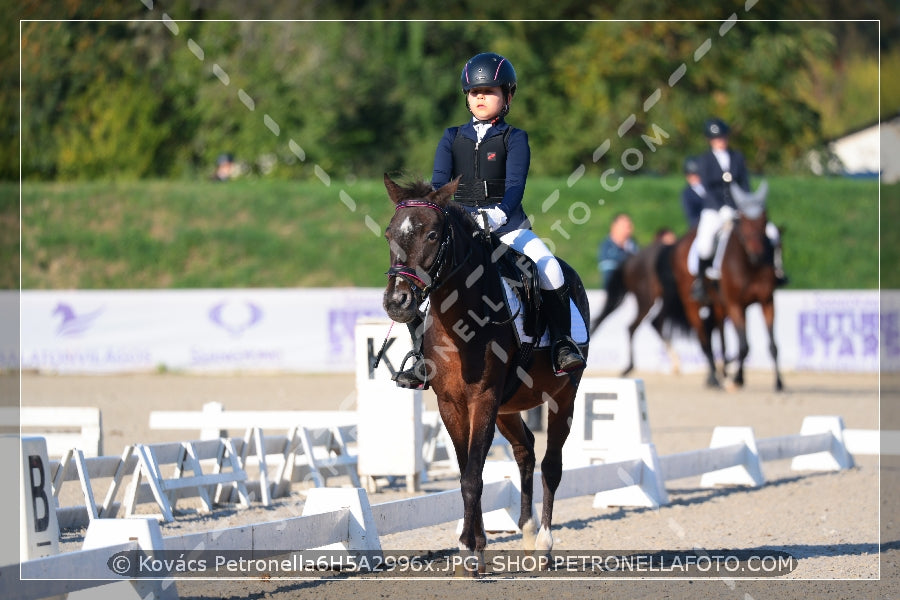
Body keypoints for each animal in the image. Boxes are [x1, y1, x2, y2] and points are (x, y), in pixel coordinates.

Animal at [664, 182, 784, 390]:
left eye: (764, 219)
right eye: (742, 221)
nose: (758, 254)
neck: (749, 264)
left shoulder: (766, 301)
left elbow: (772, 345)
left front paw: (778, 383)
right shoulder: (735, 304)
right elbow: (744, 346)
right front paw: (736, 379)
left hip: (719, 306)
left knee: (720, 338)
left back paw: (722, 373)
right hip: (694, 305)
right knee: (705, 341)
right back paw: (714, 378)